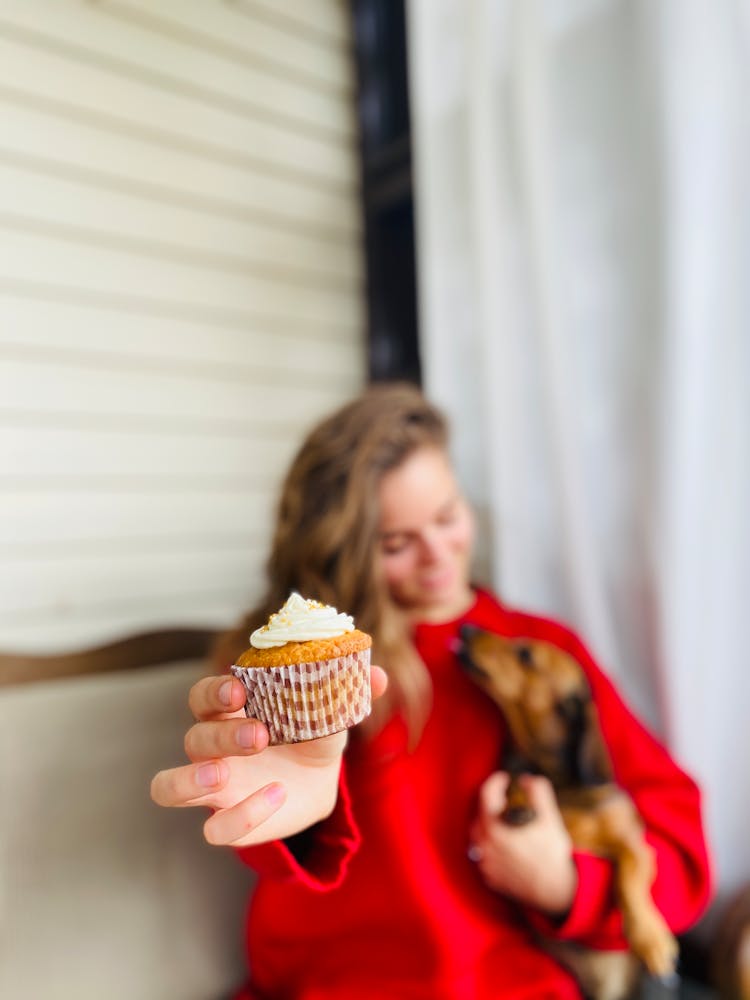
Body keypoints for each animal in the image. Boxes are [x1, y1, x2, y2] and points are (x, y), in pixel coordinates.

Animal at [458, 628, 680, 996]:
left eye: (525, 654)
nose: (466, 629)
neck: (560, 781)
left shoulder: (634, 845)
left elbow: (628, 876)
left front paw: (650, 938)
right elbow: (516, 779)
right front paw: (519, 804)